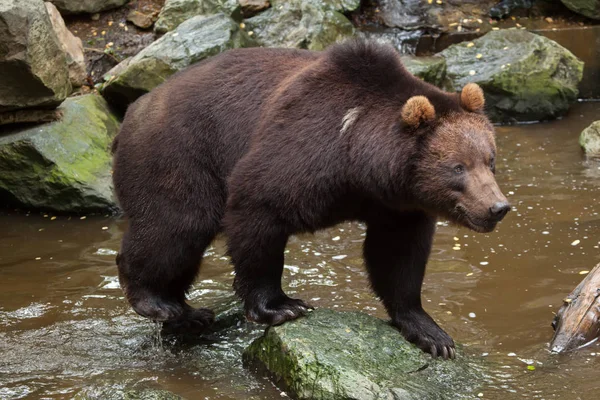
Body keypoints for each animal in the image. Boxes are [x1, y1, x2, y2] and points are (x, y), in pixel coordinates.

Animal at [111, 40, 506, 360]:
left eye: (490, 159)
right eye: (457, 167)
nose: (498, 208)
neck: (359, 162)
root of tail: (134, 109)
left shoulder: (397, 207)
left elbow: (398, 257)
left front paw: (432, 334)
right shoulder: (303, 146)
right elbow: (258, 211)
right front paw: (282, 306)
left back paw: (189, 314)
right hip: (179, 155)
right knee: (177, 227)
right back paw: (157, 301)